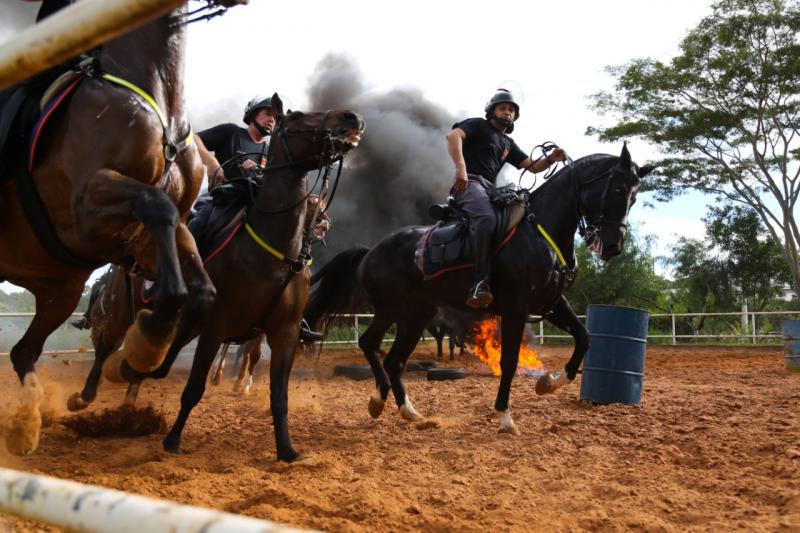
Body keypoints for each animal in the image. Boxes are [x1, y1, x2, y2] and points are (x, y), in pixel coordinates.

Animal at [0, 4, 236, 454]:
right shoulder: (84, 208)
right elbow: (155, 205)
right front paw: (147, 343)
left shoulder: (163, 234)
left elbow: (201, 291)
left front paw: (143, 354)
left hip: (60, 292)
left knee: (23, 352)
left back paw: (28, 424)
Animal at [306, 144, 648, 432]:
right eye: (618, 189)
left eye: (634, 197)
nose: (613, 246)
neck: (540, 232)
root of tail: (371, 251)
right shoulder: (516, 309)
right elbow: (509, 362)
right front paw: (505, 417)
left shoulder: (551, 304)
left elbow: (584, 338)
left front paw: (549, 382)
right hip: (392, 309)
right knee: (370, 345)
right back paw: (381, 400)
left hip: (416, 315)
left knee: (393, 360)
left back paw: (407, 410)